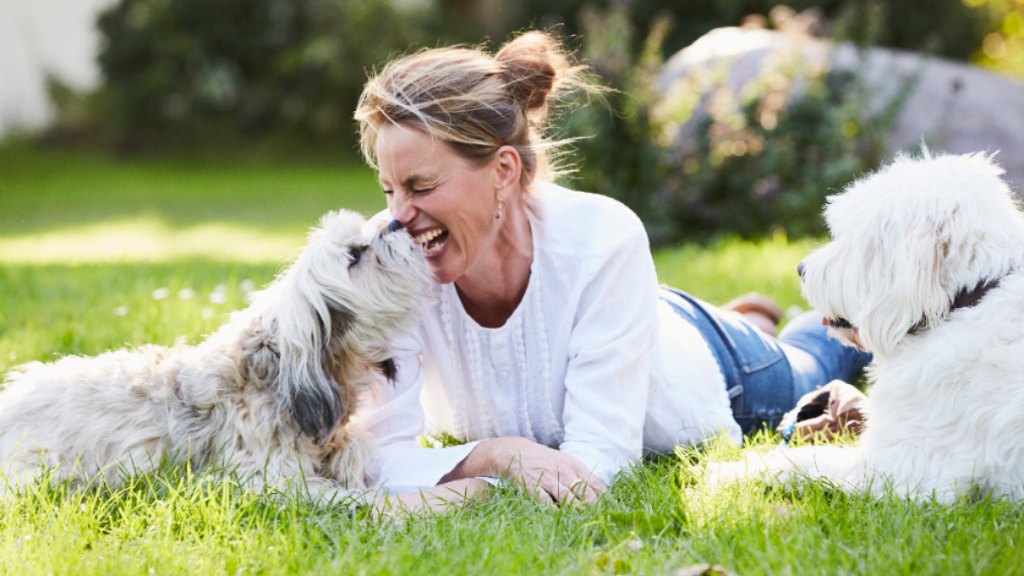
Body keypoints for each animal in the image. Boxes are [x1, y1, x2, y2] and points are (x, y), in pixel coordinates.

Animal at [716, 150, 1024, 500]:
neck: (968, 299)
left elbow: (806, 458)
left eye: (852, 239)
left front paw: (724, 470)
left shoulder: (902, 474)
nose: (801, 269)